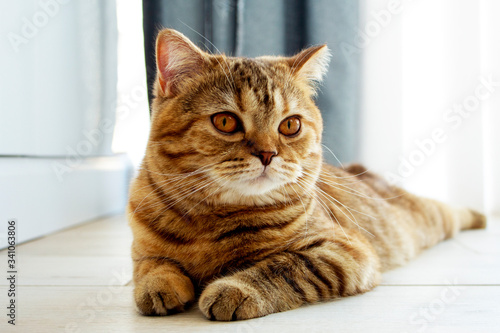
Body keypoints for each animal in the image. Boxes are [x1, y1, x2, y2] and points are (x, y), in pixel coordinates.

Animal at [127, 29, 486, 322]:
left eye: (290, 125)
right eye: (225, 122)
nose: (267, 154)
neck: (211, 220)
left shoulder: (344, 250)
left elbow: (285, 267)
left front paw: (235, 288)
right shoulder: (143, 247)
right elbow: (152, 264)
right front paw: (158, 284)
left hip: (425, 220)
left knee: (450, 212)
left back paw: (480, 217)